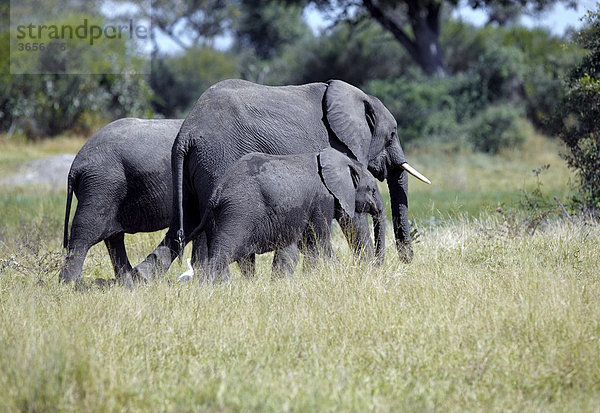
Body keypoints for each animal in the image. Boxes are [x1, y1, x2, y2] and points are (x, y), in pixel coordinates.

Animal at [61, 116, 184, 284]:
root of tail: (75, 166)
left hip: (108, 188)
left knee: (113, 237)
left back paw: (128, 284)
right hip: (102, 184)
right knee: (86, 232)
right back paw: (68, 284)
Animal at [185, 147, 386, 280]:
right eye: (372, 189)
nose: (377, 268)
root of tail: (216, 194)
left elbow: (307, 243)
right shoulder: (322, 198)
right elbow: (320, 240)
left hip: (220, 217)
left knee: (243, 259)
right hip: (239, 212)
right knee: (225, 252)